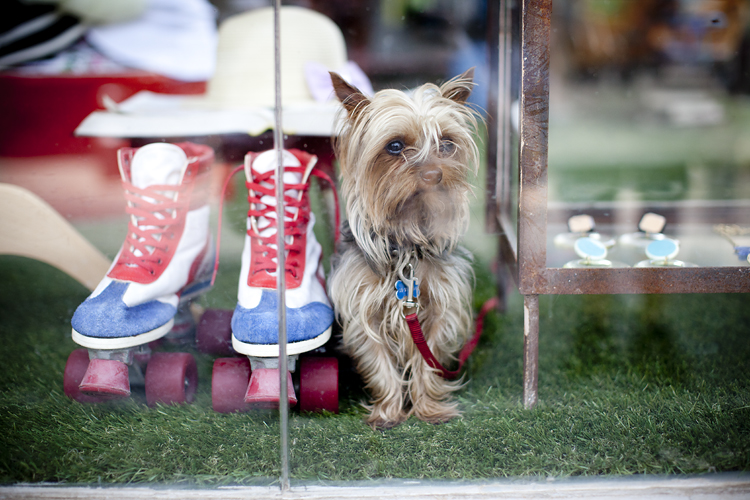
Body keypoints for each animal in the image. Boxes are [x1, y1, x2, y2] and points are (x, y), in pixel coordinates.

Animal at [328, 69, 482, 430]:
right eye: (395, 146)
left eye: (446, 143)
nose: (434, 174)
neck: (408, 241)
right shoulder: (363, 310)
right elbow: (378, 362)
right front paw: (387, 412)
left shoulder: (440, 308)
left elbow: (429, 358)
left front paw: (429, 409)